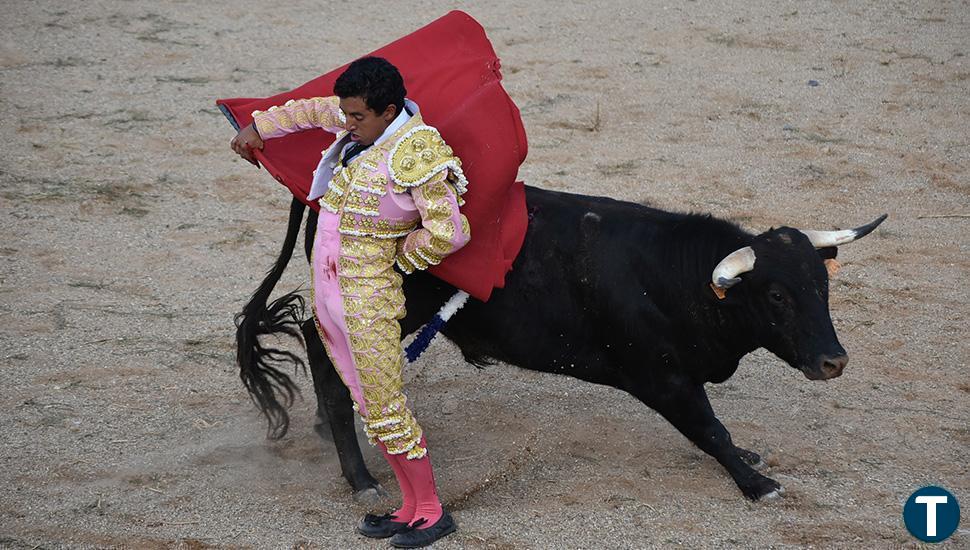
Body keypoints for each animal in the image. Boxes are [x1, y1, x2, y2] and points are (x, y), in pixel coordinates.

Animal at [236, 187, 884, 504]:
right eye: (775, 295)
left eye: (823, 284)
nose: (834, 361)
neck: (676, 276)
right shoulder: (663, 378)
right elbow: (711, 429)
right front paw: (756, 484)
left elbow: (718, 431)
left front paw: (751, 460)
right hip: (371, 308)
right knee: (323, 353)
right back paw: (361, 478)